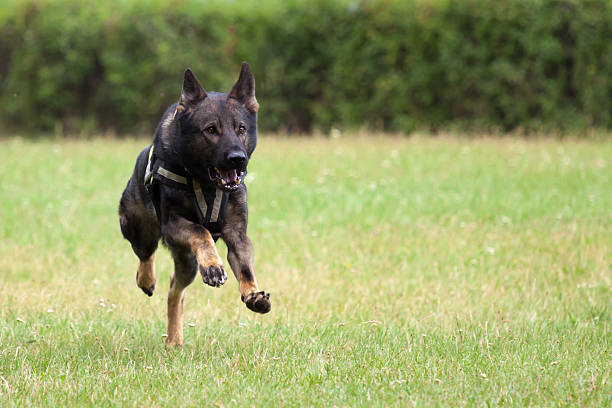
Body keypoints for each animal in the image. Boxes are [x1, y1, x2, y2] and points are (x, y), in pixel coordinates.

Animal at [119, 63, 270, 348]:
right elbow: (201, 232)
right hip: (139, 229)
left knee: (174, 291)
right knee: (146, 254)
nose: (238, 159)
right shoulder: (173, 225)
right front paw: (213, 266)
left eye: (241, 129)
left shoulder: (237, 234)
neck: (206, 185)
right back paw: (146, 280)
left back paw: (174, 338)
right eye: (210, 130)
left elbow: (245, 267)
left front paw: (252, 293)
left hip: (187, 263)